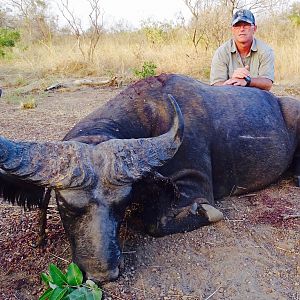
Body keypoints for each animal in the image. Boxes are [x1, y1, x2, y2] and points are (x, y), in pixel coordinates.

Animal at [0, 74, 300, 282]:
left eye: (122, 203)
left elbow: (157, 221)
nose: (103, 273)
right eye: (64, 206)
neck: (150, 113)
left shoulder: (194, 183)